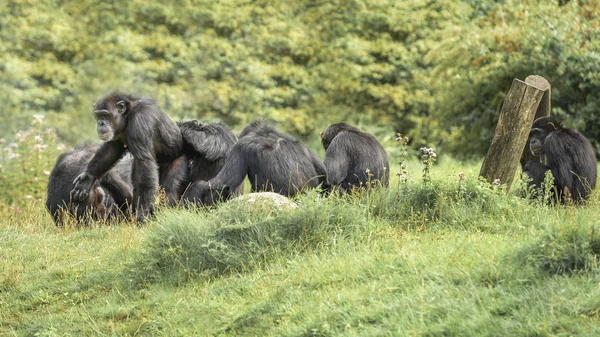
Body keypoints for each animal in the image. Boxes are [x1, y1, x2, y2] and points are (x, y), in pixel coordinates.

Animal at [70, 93, 183, 222]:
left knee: (169, 186)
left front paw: (142, 214)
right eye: (98, 115)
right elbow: (111, 149)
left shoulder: (141, 119)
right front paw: (86, 179)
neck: (127, 116)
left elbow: (144, 161)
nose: (101, 123)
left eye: (106, 115)